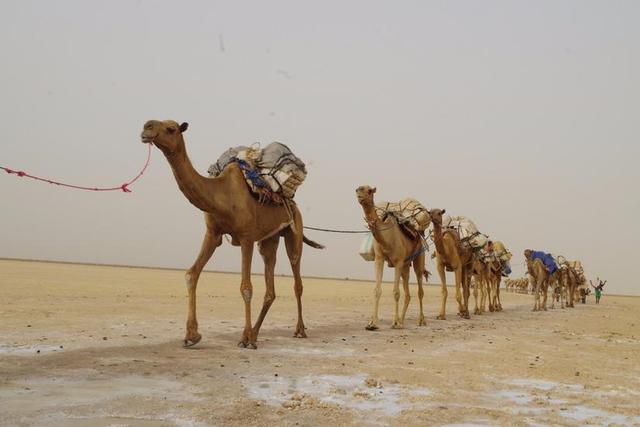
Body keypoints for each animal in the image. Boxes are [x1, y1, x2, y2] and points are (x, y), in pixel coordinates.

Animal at [138, 118, 322, 350]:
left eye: (171, 129)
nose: (147, 127)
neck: (222, 195)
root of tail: (293, 203)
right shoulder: (213, 233)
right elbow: (191, 274)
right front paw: (191, 335)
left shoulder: (246, 237)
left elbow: (246, 287)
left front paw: (244, 339)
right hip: (269, 240)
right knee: (270, 287)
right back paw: (256, 333)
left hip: (294, 232)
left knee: (297, 280)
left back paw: (298, 330)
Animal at [356, 186, 430, 330]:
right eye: (358, 189)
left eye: (369, 190)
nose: (358, 193)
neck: (387, 237)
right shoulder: (379, 259)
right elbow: (377, 290)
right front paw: (372, 323)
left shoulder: (398, 262)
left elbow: (396, 292)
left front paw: (394, 323)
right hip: (405, 265)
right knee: (407, 293)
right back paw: (402, 320)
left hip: (418, 257)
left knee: (420, 289)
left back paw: (421, 320)